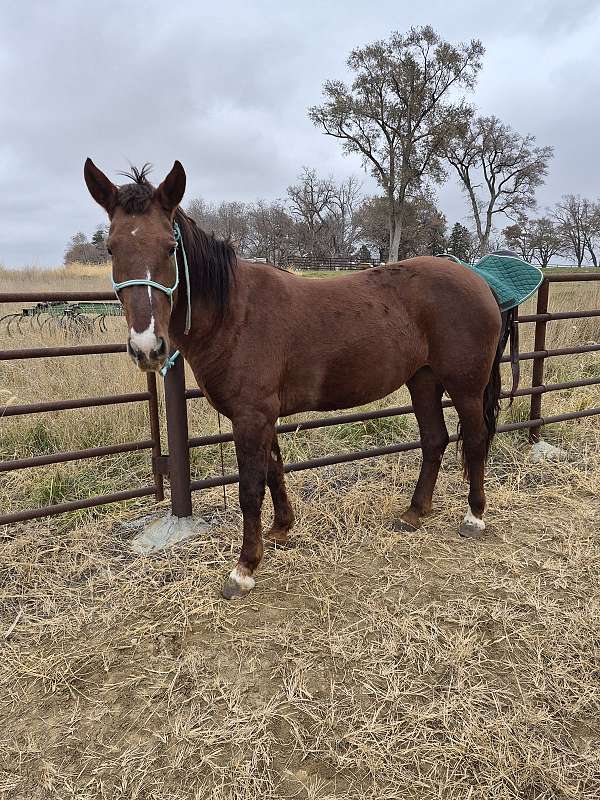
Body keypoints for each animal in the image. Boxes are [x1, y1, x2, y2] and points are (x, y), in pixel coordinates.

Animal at [84, 158, 510, 600]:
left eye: (170, 247)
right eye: (112, 247)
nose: (147, 347)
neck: (234, 313)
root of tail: (480, 281)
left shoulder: (251, 416)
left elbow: (250, 489)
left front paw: (244, 568)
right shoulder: (260, 415)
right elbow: (274, 469)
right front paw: (281, 530)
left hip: (465, 385)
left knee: (475, 439)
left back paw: (474, 517)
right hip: (423, 380)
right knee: (434, 440)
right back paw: (414, 512)